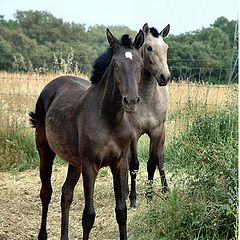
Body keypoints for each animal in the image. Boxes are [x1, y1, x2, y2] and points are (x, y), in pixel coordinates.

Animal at [29, 29, 143, 240]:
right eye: (115, 65)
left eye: (140, 64)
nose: (131, 101)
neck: (109, 119)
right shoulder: (90, 165)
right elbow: (88, 216)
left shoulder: (119, 163)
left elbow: (121, 212)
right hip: (45, 150)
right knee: (46, 192)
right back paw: (43, 235)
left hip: (75, 162)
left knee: (66, 194)